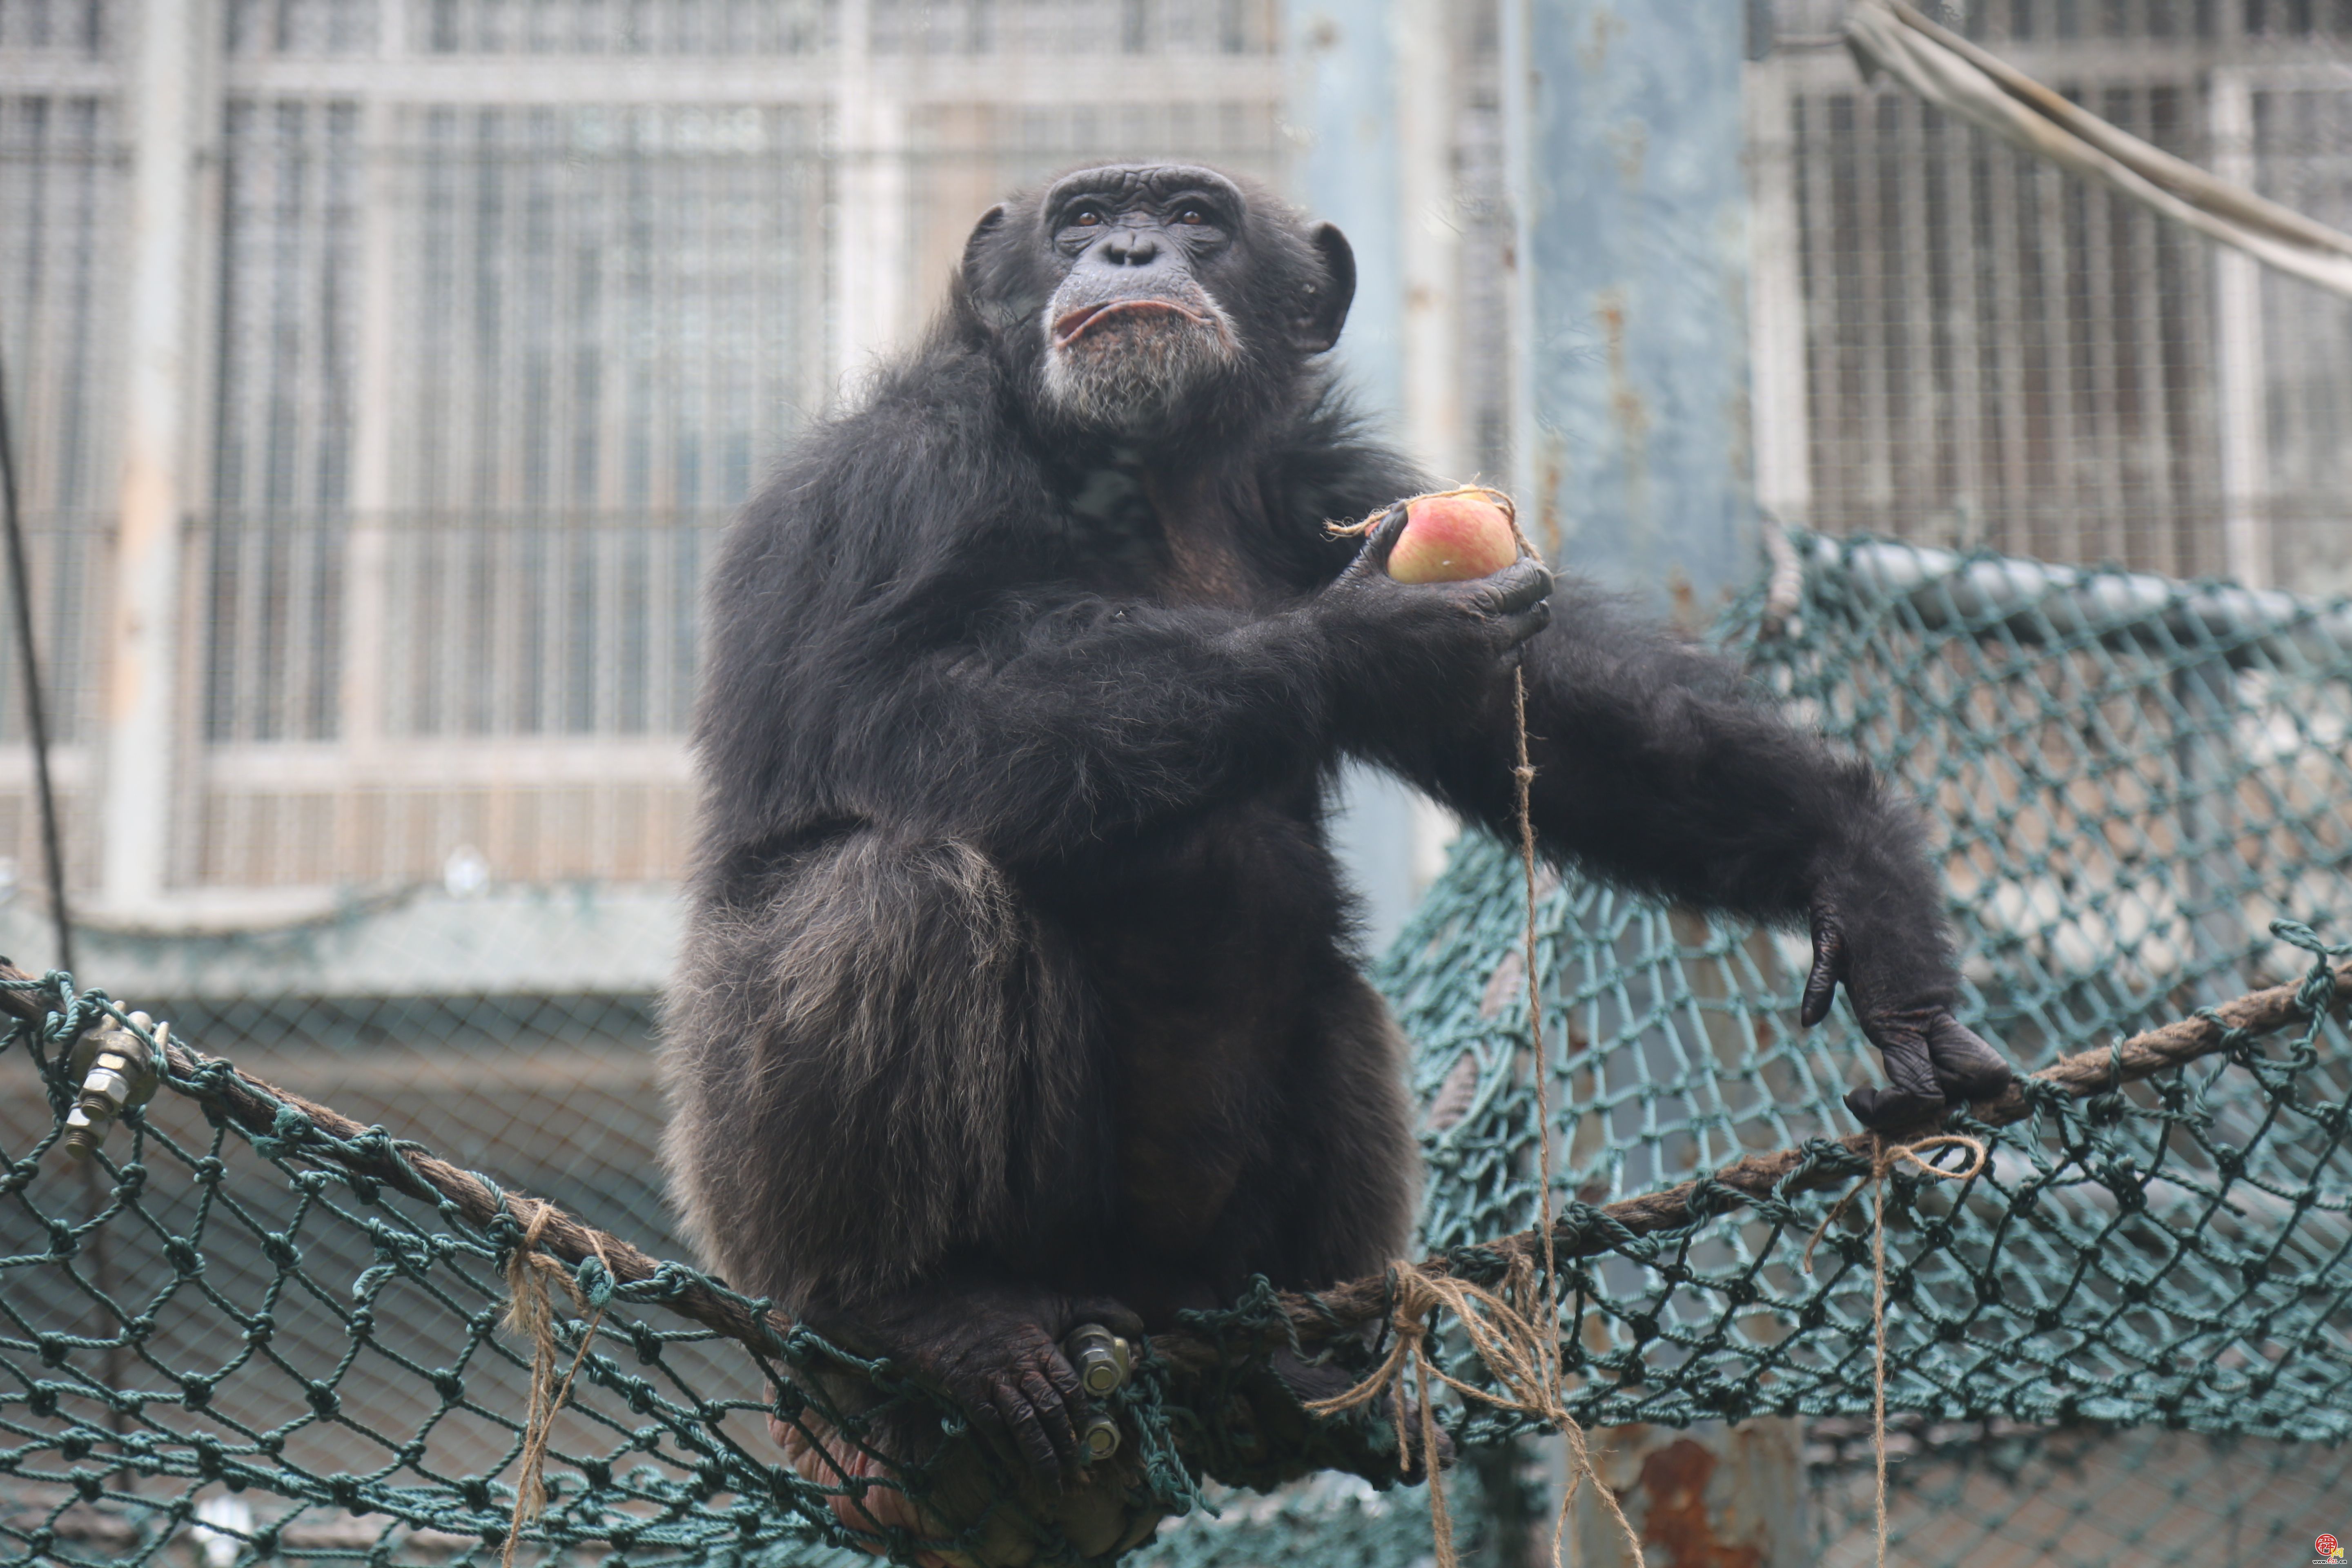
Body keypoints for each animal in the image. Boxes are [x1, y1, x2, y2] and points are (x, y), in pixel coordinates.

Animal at [658, 165, 2004, 1495]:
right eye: (1082, 217)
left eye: (1192, 216)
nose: (1130, 250)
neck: (1149, 475)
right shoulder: (895, 476)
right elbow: (875, 705)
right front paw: (1362, 644)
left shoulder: (1341, 487)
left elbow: (1567, 716)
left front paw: (1869, 894)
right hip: (758, 1221)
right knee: (898, 889)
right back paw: (931, 1308)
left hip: (1187, 1266)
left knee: (1333, 992)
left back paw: (1292, 1371)